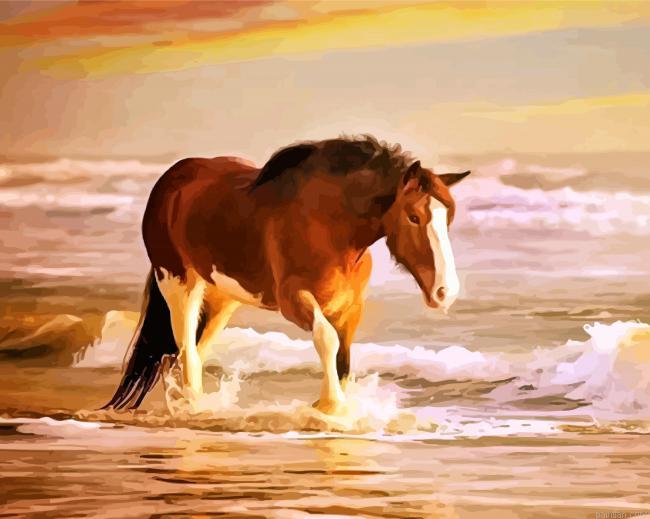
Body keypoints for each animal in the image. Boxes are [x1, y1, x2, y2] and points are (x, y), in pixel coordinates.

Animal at [104, 135, 470, 415]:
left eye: (449, 216)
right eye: (413, 217)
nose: (445, 292)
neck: (329, 225)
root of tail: (171, 179)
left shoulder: (349, 309)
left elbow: (344, 360)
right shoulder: (295, 301)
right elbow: (326, 339)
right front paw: (331, 408)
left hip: (222, 297)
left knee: (195, 349)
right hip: (179, 285)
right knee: (185, 351)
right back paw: (193, 408)